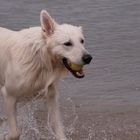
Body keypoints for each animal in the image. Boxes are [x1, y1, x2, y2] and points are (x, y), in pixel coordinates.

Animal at [0, 10, 92, 140]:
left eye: (82, 41)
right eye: (67, 43)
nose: (88, 58)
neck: (40, 57)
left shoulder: (51, 96)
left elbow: (57, 127)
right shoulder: (9, 94)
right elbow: (15, 133)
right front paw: (5, 136)